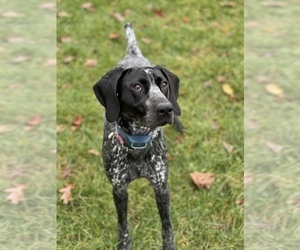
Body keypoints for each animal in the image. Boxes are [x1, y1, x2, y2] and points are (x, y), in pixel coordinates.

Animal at [92, 23, 180, 250]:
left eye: (163, 84)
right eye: (137, 86)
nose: (166, 109)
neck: (139, 142)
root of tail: (133, 53)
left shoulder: (161, 187)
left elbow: (167, 225)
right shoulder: (119, 189)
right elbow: (123, 225)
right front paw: (124, 245)